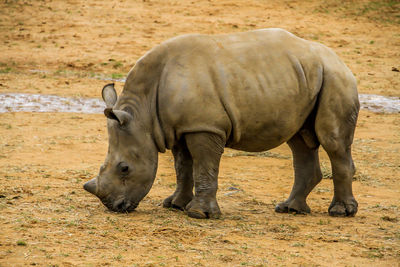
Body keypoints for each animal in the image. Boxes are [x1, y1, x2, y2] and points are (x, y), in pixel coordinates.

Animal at [83, 28, 360, 219]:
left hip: (335, 77)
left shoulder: (205, 126)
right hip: (304, 78)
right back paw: (289, 209)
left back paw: (340, 212)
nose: (114, 207)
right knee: (300, 141)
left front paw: (199, 214)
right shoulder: (181, 127)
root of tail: (340, 59)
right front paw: (175, 205)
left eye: (125, 169)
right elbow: (183, 167)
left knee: (332, 141)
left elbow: (204, 166)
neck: (144, 114)